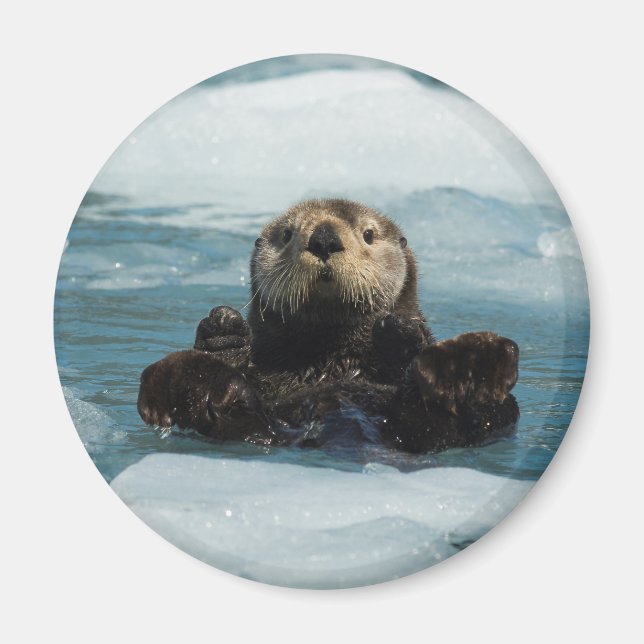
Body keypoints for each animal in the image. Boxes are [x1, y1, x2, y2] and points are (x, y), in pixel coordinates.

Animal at [137, 198, 519, 453]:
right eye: (287, 234)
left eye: (368, 234)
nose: (323, 238)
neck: (331, 359)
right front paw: (224, 332)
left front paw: (398, 332)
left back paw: (465, 366)